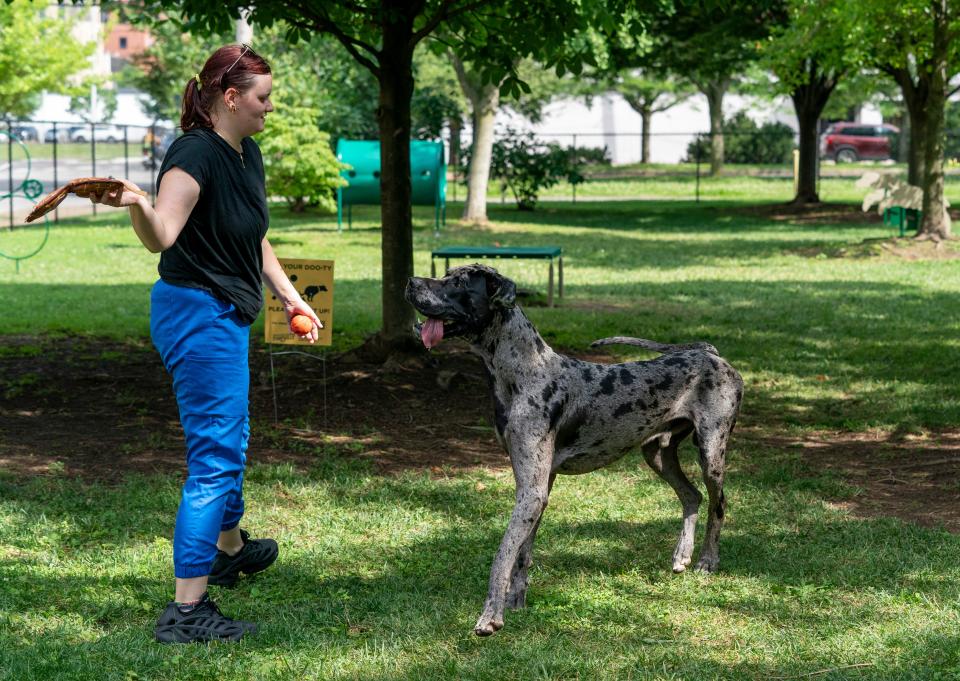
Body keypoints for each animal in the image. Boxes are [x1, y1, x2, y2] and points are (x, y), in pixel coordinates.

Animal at [404, 262, 744, 636]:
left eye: (460, 282)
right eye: (446, 273)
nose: (410, 281)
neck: (525, 371)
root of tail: (710, 352)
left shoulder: (532, 491)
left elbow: (503, 554)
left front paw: (491, 615)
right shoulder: (538, 487)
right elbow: (523, 553)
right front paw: (516, 601)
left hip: (711, 452)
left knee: (718, 503)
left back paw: (708, 561)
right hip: (657, 453)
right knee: (692, 495)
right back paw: (682, 554)